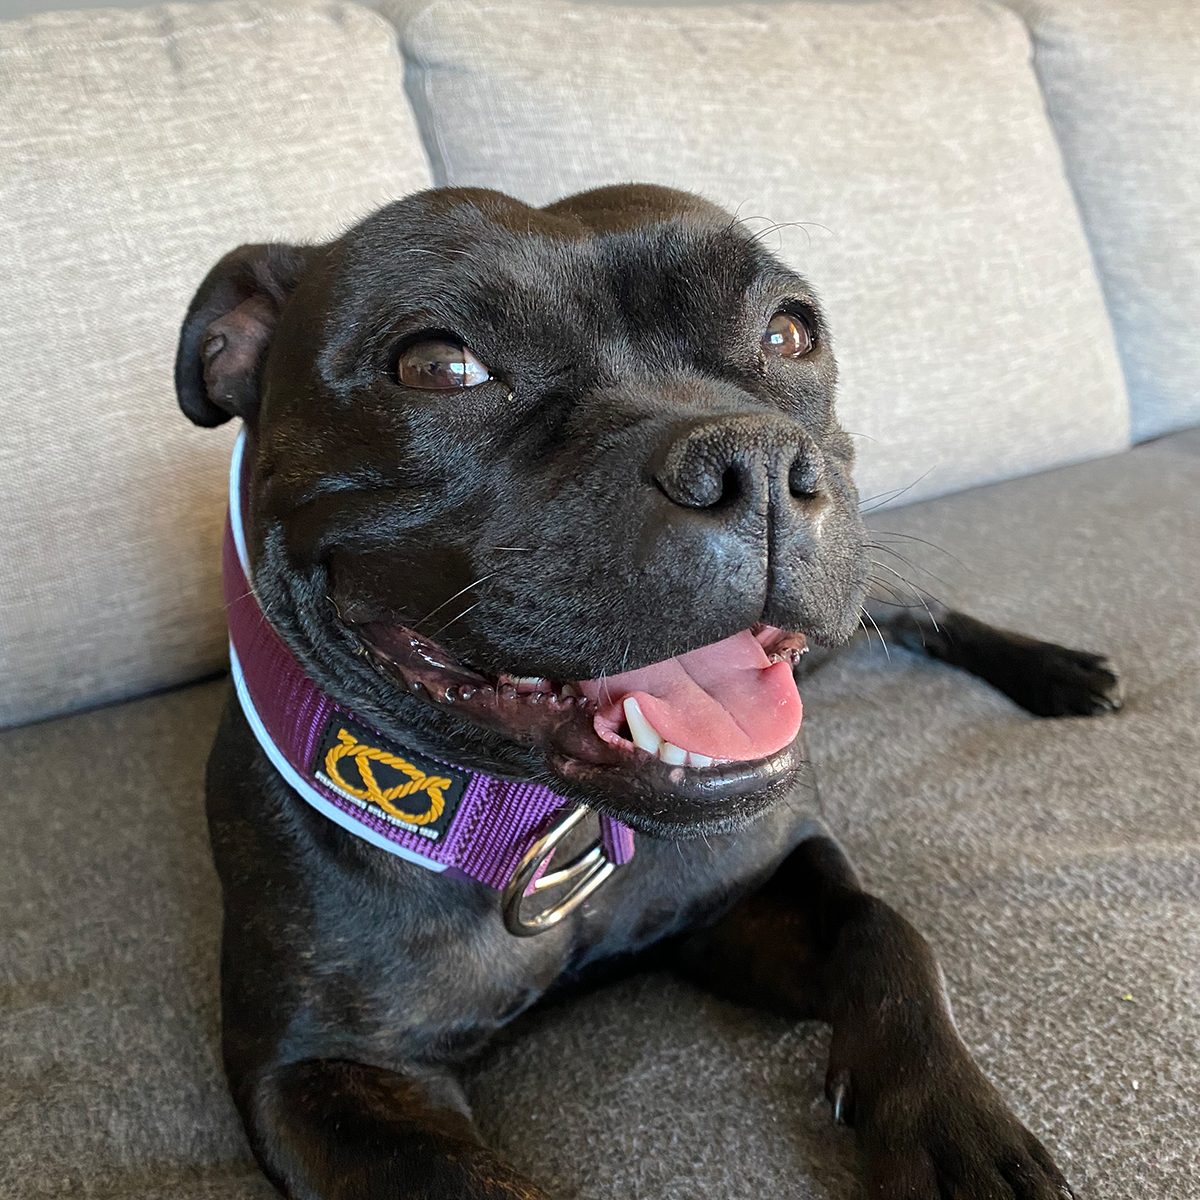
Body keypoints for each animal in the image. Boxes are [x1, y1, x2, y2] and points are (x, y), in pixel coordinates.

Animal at [174, 182, 1118, 1195]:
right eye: (436, 366)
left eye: (789, 332)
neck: (561, 825)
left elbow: (884, 929)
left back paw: (1058, 670)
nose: (752, 462)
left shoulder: (750, 886)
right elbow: (463, 1182)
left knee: (924, 616)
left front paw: (953, 1128)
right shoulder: (324, 1071)